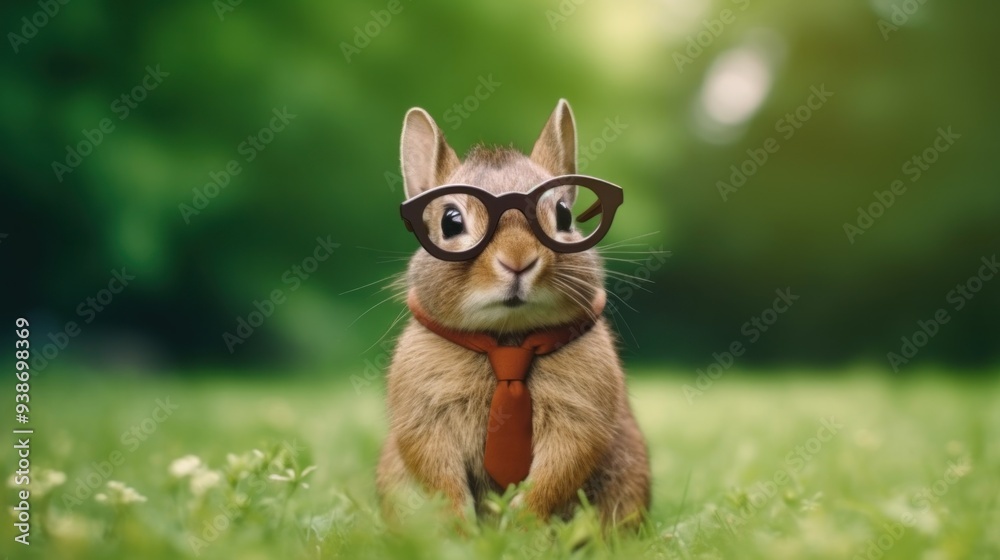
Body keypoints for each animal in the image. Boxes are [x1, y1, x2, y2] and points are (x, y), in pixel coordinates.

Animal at [376, 99, 650, 529]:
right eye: (450, 221)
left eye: (564, 216)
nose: (519, 260)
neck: (507, 339)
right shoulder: (424, 419)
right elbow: (440, 477)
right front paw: (461, 530)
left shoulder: (580, 418)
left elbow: (559, 471)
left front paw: (521, 524)